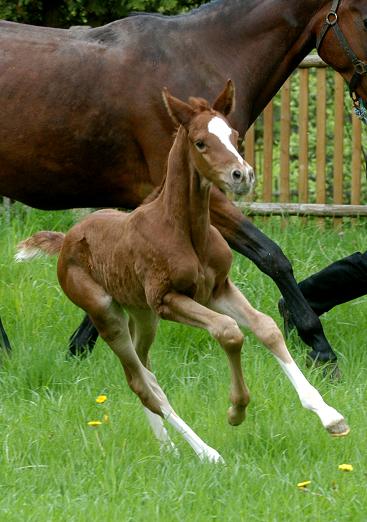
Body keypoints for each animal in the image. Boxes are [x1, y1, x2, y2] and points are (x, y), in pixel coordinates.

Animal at [16, 83, 350, 462]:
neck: (185, 229)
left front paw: (329, 415)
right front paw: (237, 410)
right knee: (140, 382)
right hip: (107, 313)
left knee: (145, 373)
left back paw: (168, 446)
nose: (242, 175)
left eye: (235, 136)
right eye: (201, 142)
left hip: (142, 314)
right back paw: (206, 453)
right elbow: (229, 331)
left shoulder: (219, 290)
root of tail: (67, 239)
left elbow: (265, 327)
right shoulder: (168, 300)